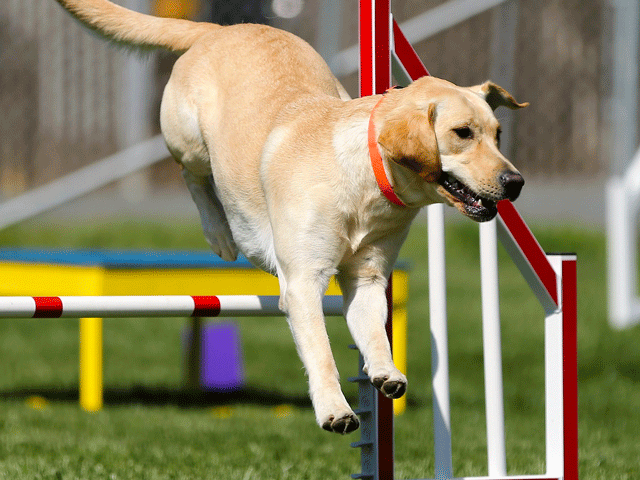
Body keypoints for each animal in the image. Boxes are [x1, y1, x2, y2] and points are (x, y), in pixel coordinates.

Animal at [53, 0, 524, 436]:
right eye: (462, 133)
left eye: (498, 134)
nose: (515, 181)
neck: (365, 181)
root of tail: (220, 29)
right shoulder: (302, 283)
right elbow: (322, 354)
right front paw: (336, 410)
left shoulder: (368, 278)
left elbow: (376, 334)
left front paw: (385, 372)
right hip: (188, 139)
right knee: (192, 176)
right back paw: (220, 234)